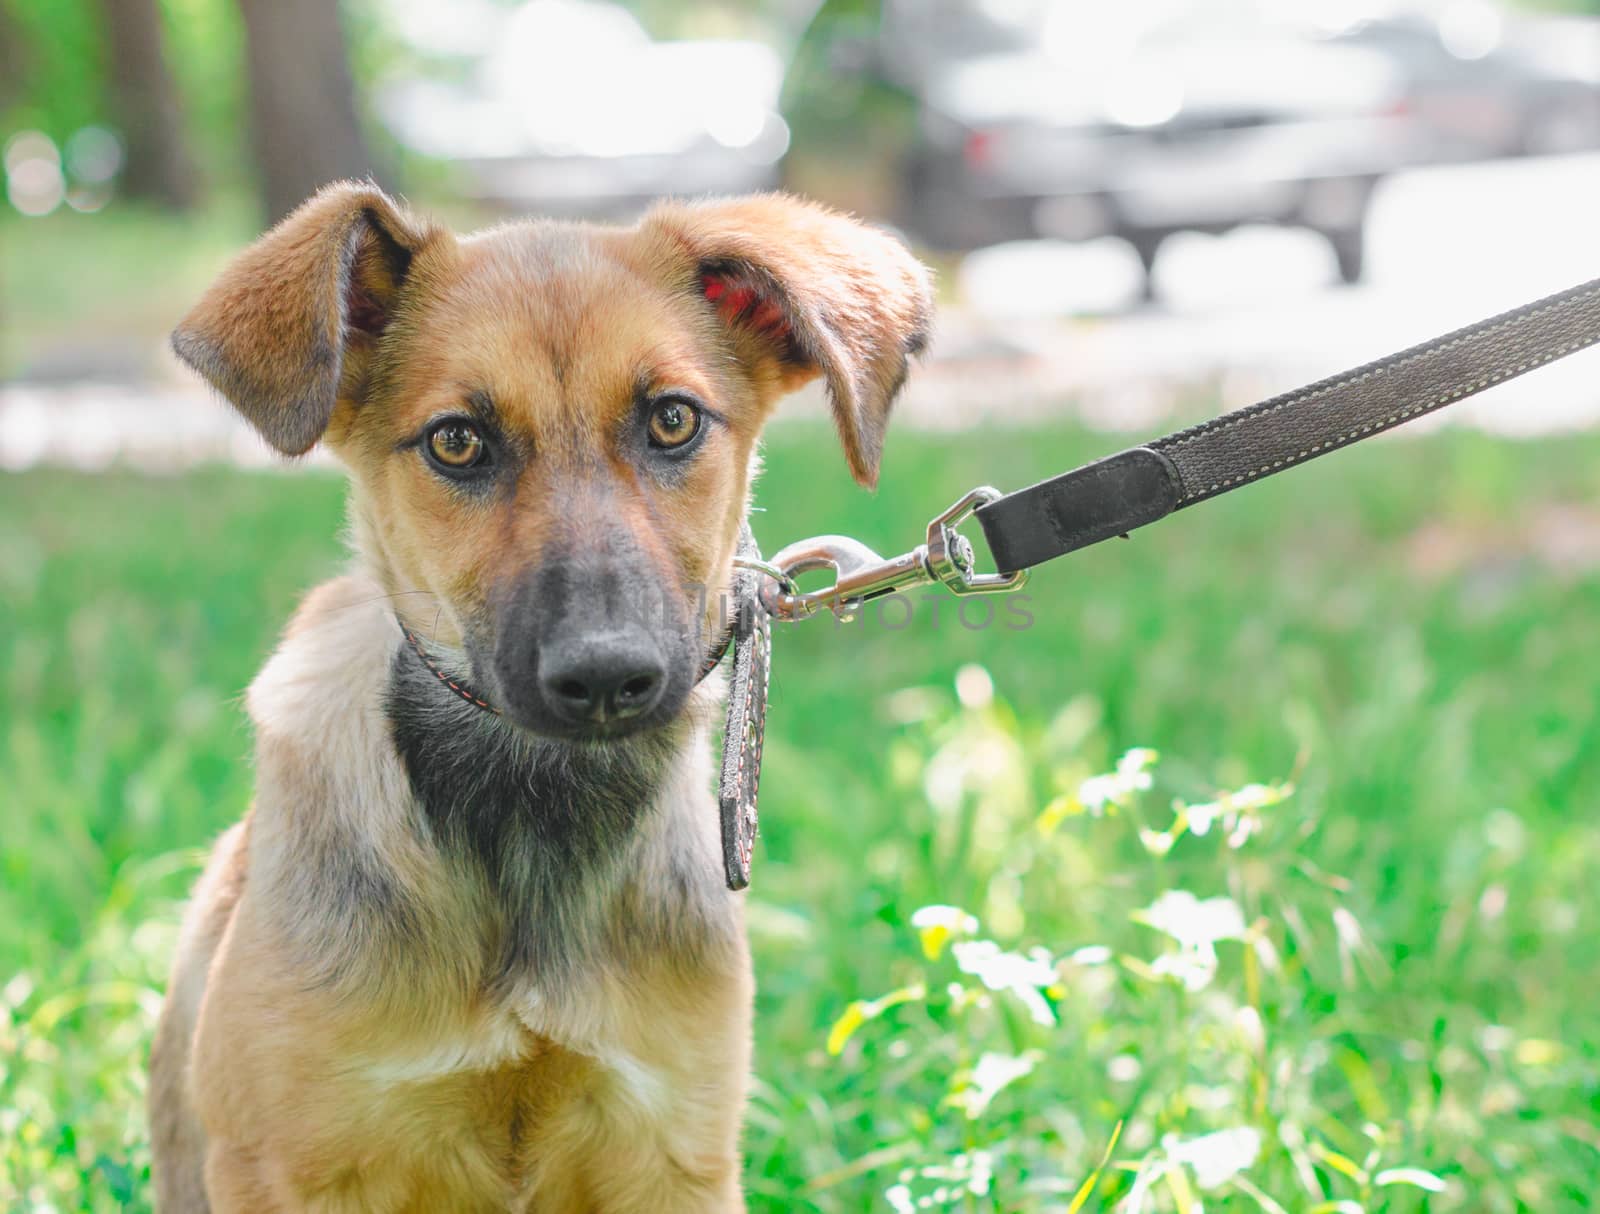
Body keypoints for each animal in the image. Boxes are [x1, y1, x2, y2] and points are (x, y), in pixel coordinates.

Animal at [150, 183, 934, 1214]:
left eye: (673, 420)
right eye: (456, 441)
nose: (606, 677)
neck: (531, 816)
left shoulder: (673, 1149)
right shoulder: (297, 1163)